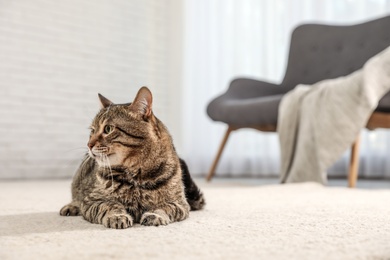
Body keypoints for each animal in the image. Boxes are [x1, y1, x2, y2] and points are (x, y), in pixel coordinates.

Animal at [59, 87, 204, 228]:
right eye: (92, 131)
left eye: (108, 129)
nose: (88, 144)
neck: (136, 175)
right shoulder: (92, 201)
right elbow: (109, 206)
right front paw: (117, 216)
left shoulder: (180, 203)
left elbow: (165, 207)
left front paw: (154, 215)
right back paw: (71, 207)